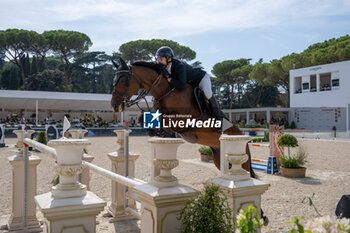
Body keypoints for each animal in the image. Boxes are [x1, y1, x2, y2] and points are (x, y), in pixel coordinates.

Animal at [110, 58, 258, 178]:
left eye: (123, 80)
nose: (114, 105)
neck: (166, 91)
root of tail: (241, 135)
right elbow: (143, 118)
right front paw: (158, 132)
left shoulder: (183, 121)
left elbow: (164, 120)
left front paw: (164, 133)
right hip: (219, 159)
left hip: (241, 160)